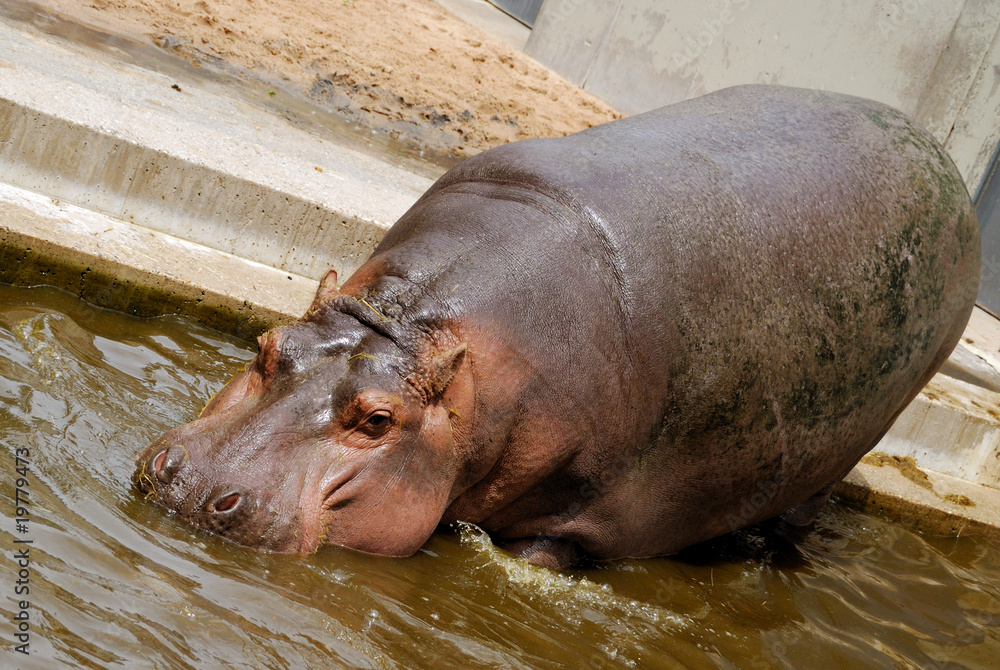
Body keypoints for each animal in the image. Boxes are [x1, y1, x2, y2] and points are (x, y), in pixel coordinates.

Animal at [133, 82, 976, 568]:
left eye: (377, 421)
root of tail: (945, 164)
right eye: (265, 348)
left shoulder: (580, 525)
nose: (194, 486)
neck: (416, 332)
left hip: (840, 455)